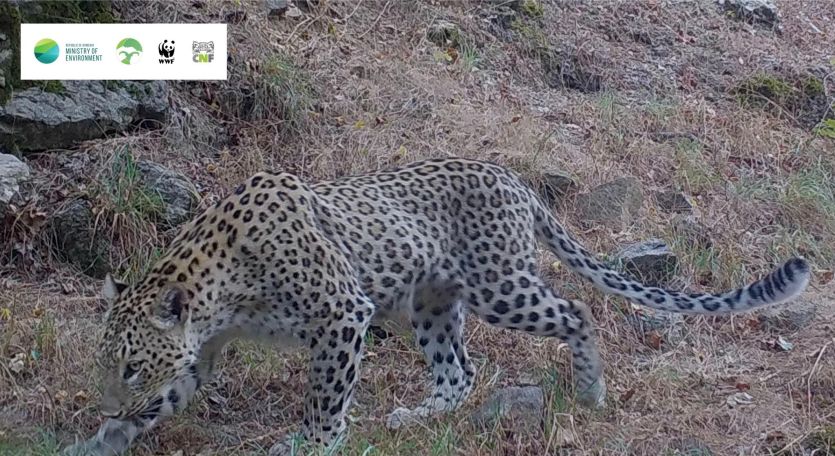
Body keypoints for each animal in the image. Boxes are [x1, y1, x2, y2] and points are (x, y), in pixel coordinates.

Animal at [61, 157, 810, 455]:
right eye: (106, 364)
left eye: (130, 365)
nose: (107, 398)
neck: (219, 291)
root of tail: (512, 176)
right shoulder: (203, 350)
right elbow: (167, 399)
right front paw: (104, 437)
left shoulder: (342, 312)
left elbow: (325, 396)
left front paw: (312, 443)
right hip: (430, 305)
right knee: (460, 371)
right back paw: (417, 415)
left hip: (499, 287)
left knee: (576, 310)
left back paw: (590, 391)